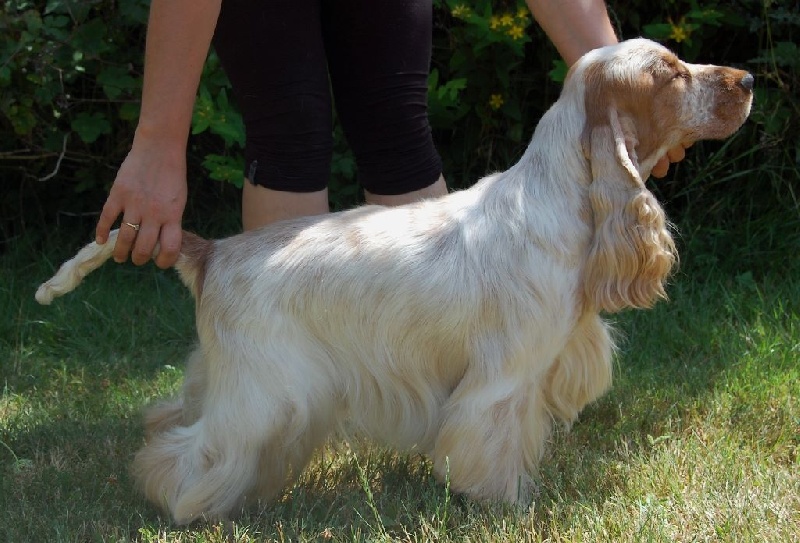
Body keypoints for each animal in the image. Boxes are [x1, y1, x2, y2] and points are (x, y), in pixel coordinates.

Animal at [36, 39, 753, 523]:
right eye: (669, 72)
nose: (747, 78)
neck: (562, 201)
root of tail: (212, 251)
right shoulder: (504, 378)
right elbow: (491, 447)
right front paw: (506, 505)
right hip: (264, 391)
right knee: (185, 452)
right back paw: (186, 505)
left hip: (222, 374)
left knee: (169, 416)